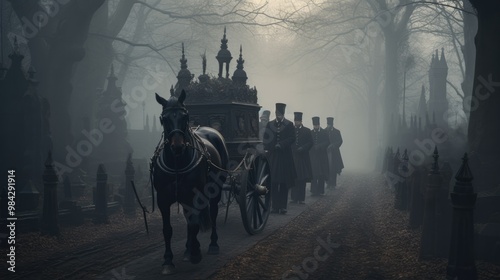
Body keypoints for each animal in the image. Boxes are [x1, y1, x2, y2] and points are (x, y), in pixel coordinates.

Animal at [153, 91, 229, 274]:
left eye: (185, 116)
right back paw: (188, 249)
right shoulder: (163, 199)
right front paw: (168, 260)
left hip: (215, 189)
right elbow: (167, 229)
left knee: (213, 213)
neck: (177, 163)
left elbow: (194, 224)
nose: (177, 146)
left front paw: (195, 253)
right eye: (164, 118)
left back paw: (212, 244)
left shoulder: (196, 196)